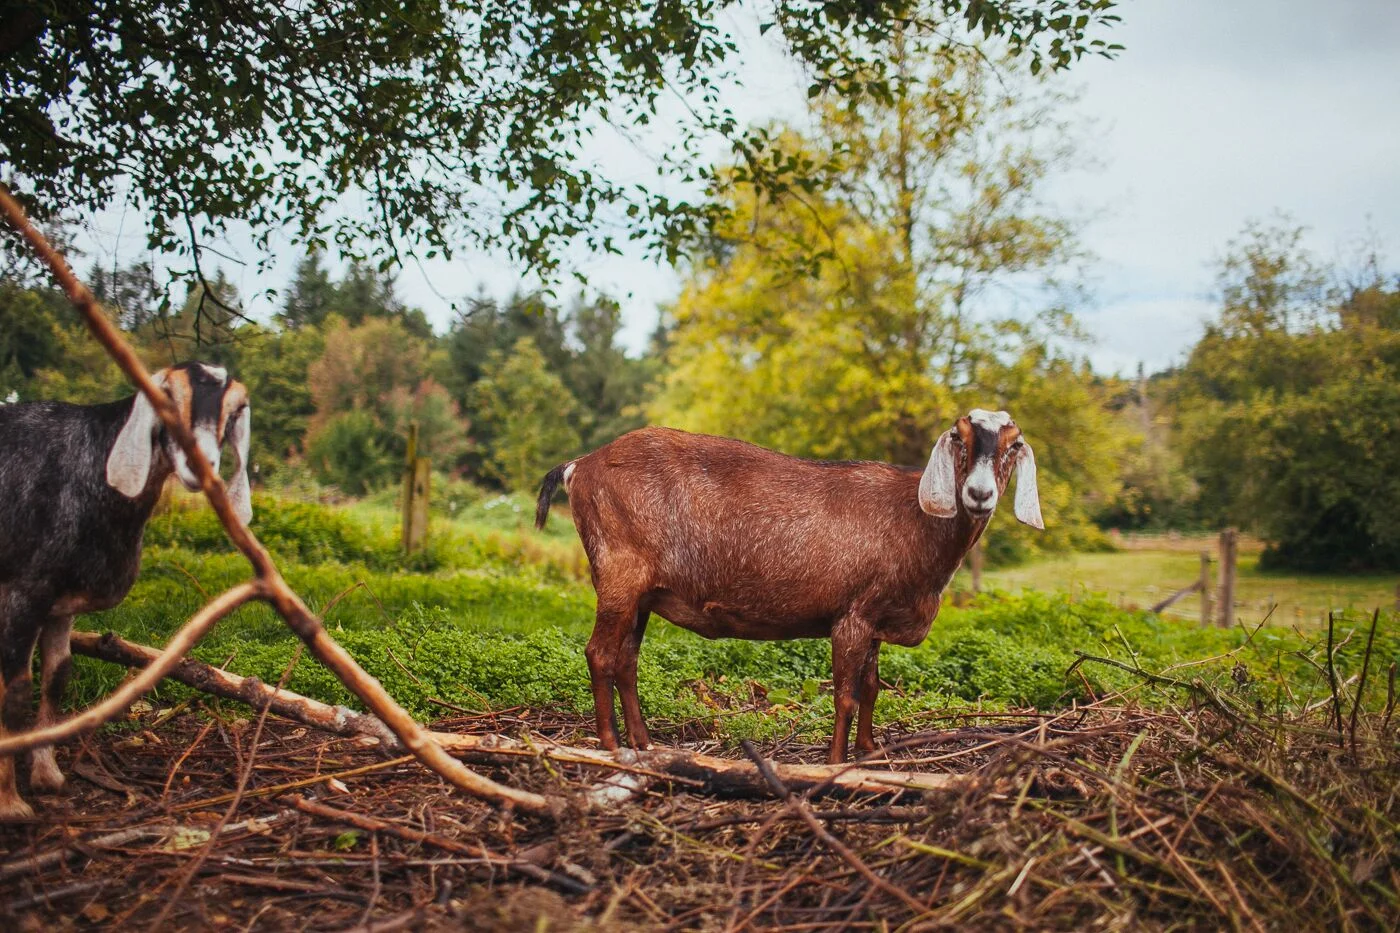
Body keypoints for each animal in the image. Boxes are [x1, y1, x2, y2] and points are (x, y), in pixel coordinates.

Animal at [0, 363, 251, 819]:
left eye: (233, 411)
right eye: (165, 397)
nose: (201, 464)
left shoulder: (59, 605)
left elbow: (57, 679)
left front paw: (48, 776)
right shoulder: (22, 592)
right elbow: (16, 693)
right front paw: (10, 804)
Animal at [535, 409, 1043, 764]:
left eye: (1014, 444)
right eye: (959, 437)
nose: (979, 494)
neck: (913, 520)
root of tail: (580, 465)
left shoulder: (875, 618)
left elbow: (873, 688)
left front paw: (870, 752)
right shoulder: (852, 615)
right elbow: (846, 695)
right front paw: (837, 761)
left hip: (641, 594)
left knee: (626, 661)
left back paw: (643, 744)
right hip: (618, 575)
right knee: (599, 654)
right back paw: (610, 744)